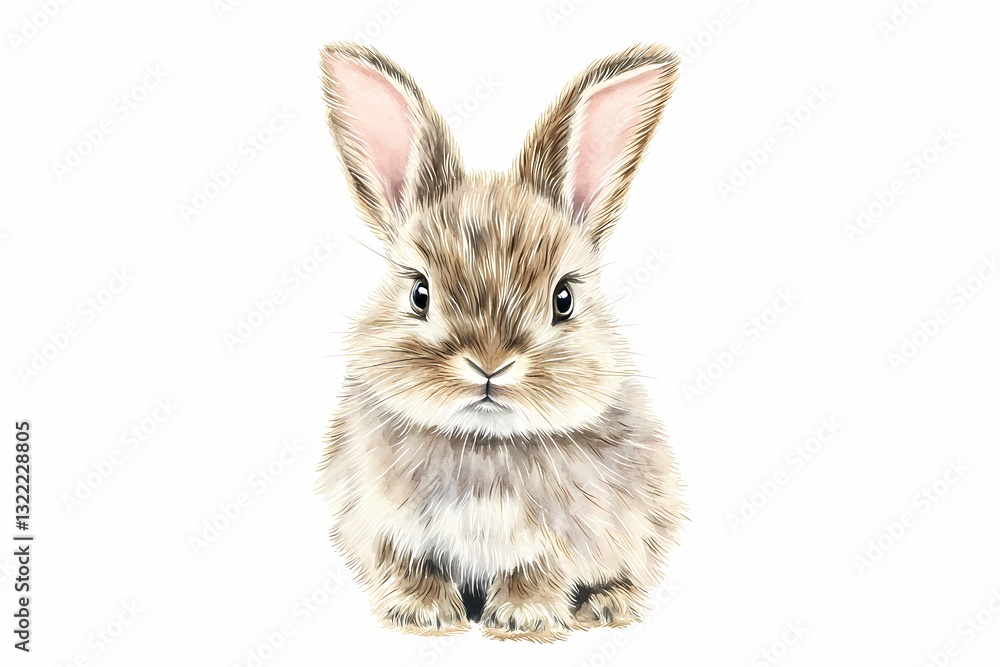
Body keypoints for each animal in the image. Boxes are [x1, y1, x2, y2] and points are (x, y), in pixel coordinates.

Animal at [318, 42, 686, 643]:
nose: (490, 365)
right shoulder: (383, 526)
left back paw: (608, 606)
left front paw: (522, 619)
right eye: (420, 293)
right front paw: (425, 615)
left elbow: (539, 572)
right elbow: (410, 567)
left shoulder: (565, 538)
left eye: (564, 298)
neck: (484, 441)